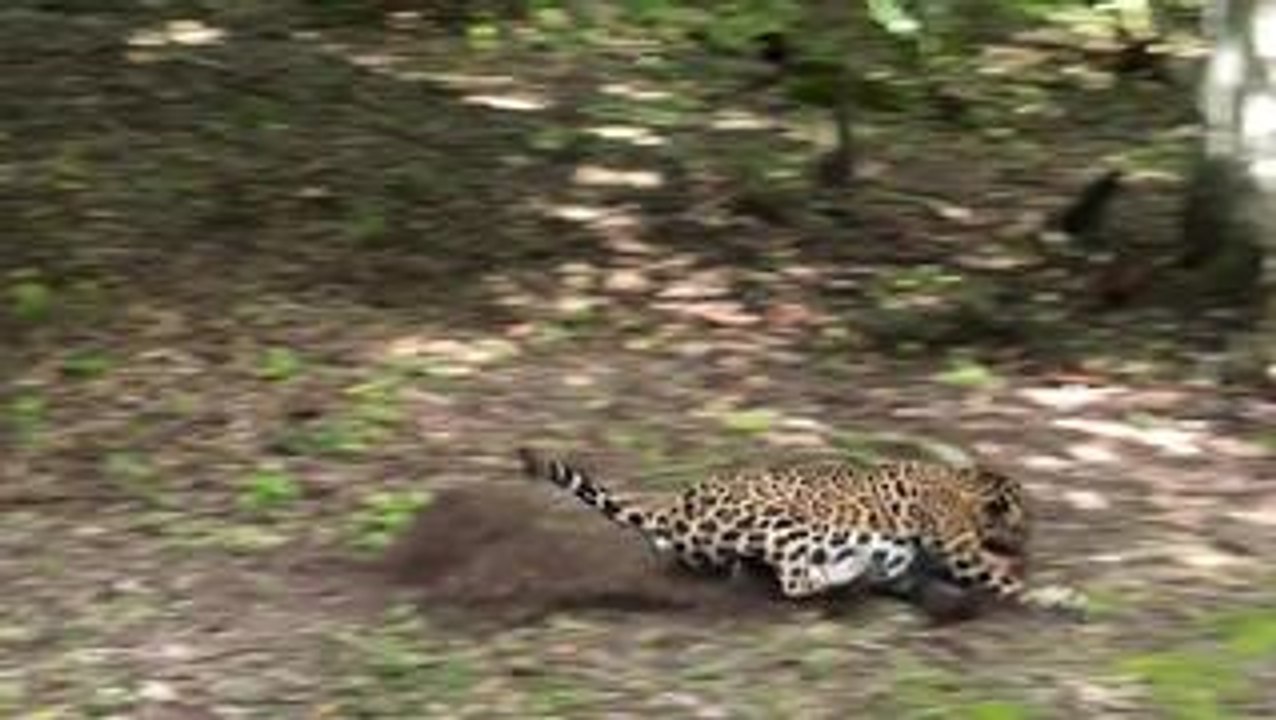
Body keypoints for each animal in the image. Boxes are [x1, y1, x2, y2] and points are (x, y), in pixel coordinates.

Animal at [515, 447, 1073, 614]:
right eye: (1025, 520)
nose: (1032, 540)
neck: (965, 485)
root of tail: (673, 508)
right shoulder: (959, 547)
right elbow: (1002, 576)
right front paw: (1059, 597)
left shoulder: (921, 564)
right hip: (780, 520)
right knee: (794, 578)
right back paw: (852, 568)